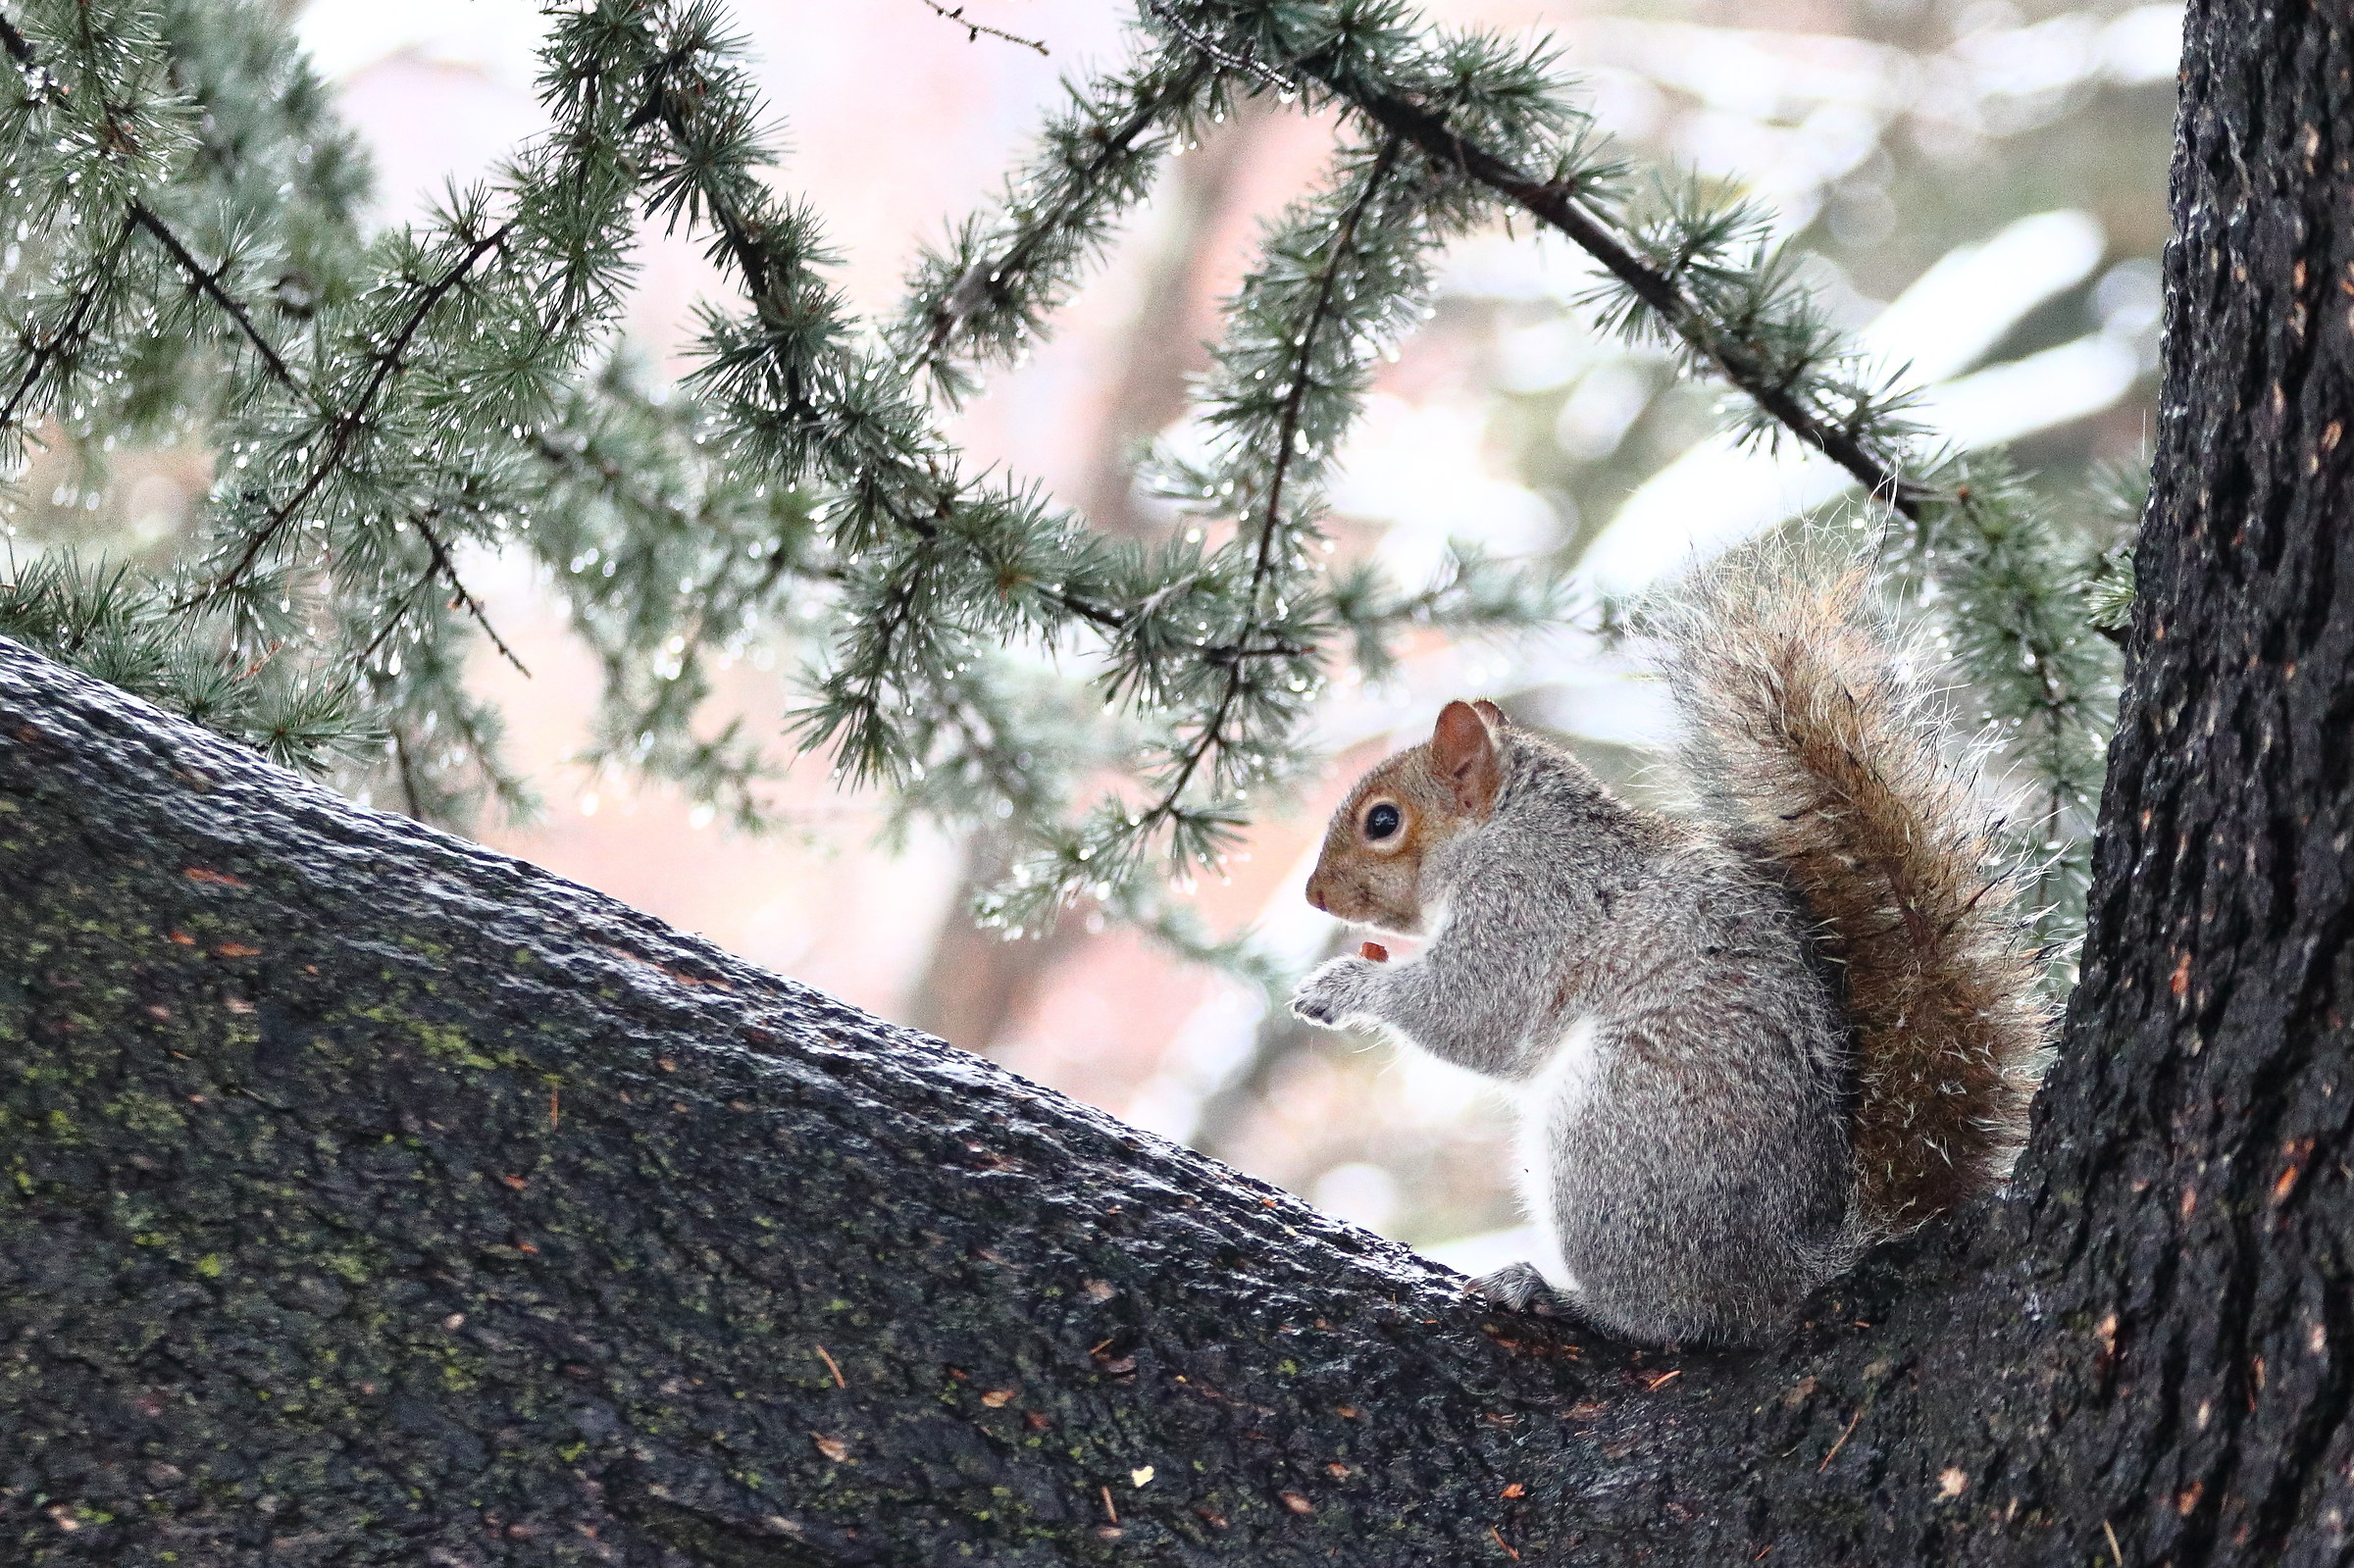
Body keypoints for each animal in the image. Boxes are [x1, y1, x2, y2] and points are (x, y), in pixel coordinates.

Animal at [1288, 547, 2046, 1347]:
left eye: (1382, 821)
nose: (1314, 895)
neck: (1507, 828)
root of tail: (1785, 1267)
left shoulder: (1528, 907)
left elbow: (1475, 1013)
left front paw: (1341, 986)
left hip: (1612, 1134)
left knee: (1667, 1314)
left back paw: (1560, 1294)